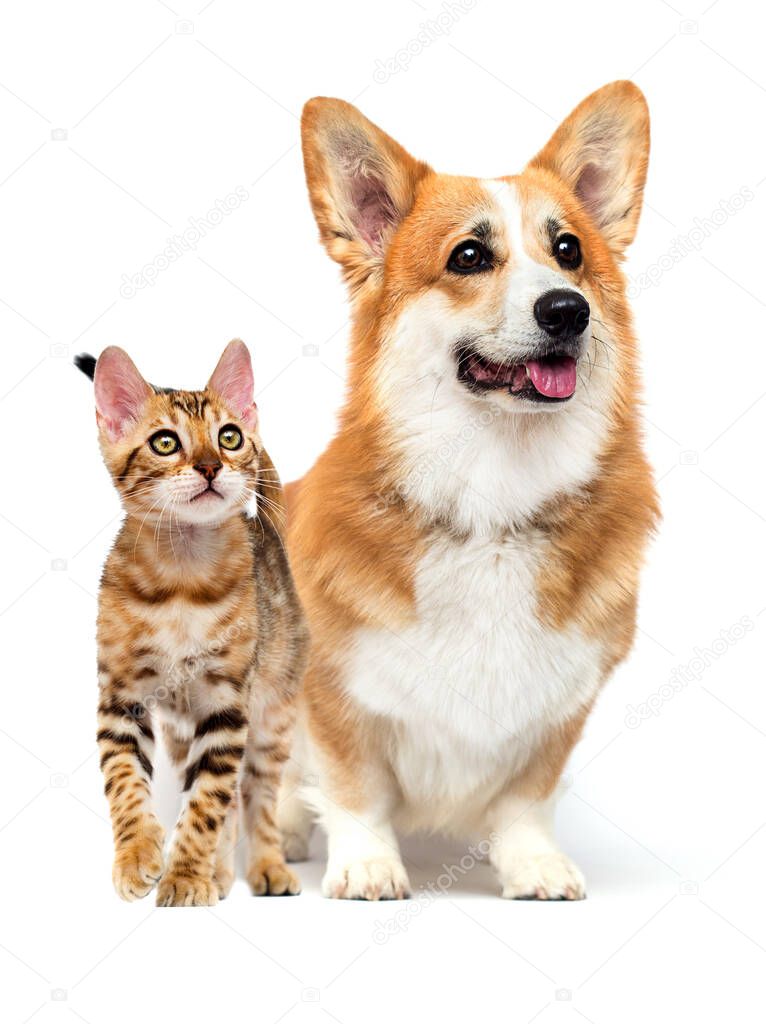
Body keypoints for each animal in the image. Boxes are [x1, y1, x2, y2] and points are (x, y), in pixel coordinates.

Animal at [76, 337, 307, 905]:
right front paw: (139, 854)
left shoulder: (227, 703)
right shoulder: (122, 697)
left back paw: (265, 865)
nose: (209, 466)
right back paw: (220, 873)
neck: (182, 581)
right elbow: (125, 781)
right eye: (165, 443)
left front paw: (184, 875)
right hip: (183, 730)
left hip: (272, 716)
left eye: (229, 437)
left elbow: (207, 803)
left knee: (256, 794)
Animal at [280, 81, 659, 897]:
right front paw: (367, 865)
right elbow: (352, 786)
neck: (493, 500)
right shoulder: (333, 693)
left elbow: (527, 797)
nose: (567, 309)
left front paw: (533, 864)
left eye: (569, 251)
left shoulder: (560, 710)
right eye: (470, 256)